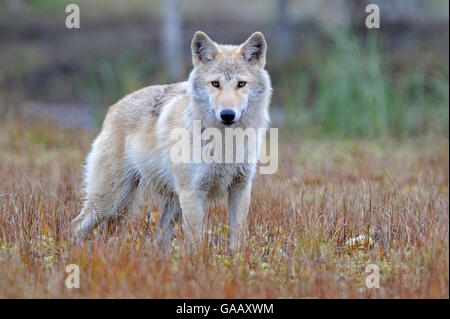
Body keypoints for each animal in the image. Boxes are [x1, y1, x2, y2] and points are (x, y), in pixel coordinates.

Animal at [71, 31, 270, 252]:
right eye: (215, 83)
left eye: (241, 84)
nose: (227, 114)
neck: (224, 141)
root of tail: (113, 108)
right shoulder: (193, 193)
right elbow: (196, 242)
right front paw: (200, 261)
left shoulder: (240, 188)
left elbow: (237, 238)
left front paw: (235, 259)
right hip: (110, 201)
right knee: (77, 226)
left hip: (164, 205)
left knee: (157, 237)